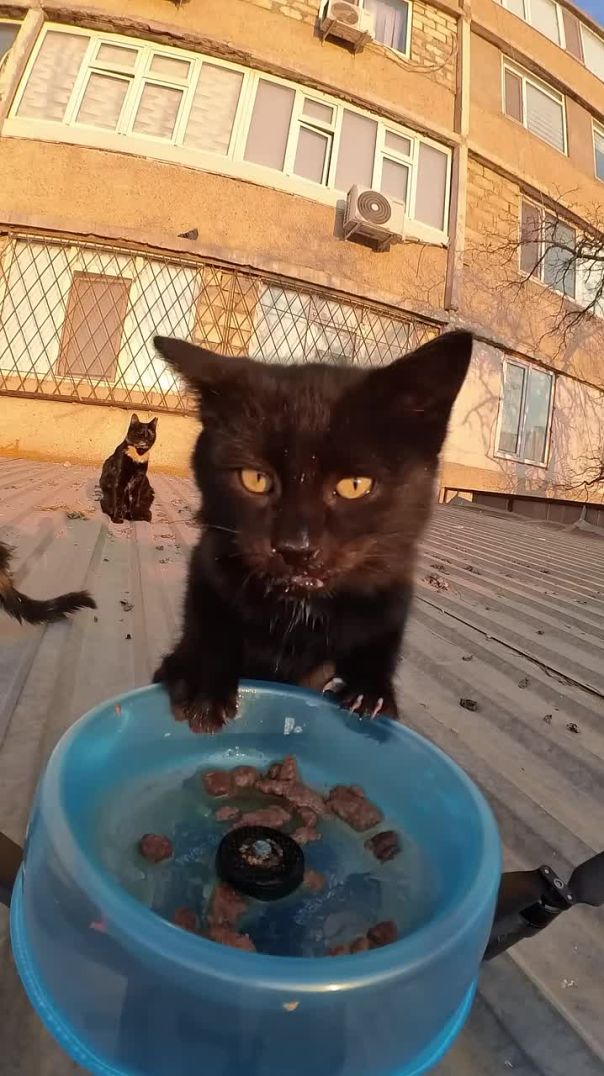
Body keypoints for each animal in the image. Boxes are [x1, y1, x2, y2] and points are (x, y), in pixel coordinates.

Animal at [150, 329, 471, 731]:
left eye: (354, 485)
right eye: (255, 479)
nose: (295, 547)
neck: (302, 610)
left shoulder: (392, 594)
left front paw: (368, 692)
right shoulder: (209, 565)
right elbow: (208, 625)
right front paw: (201, 683)